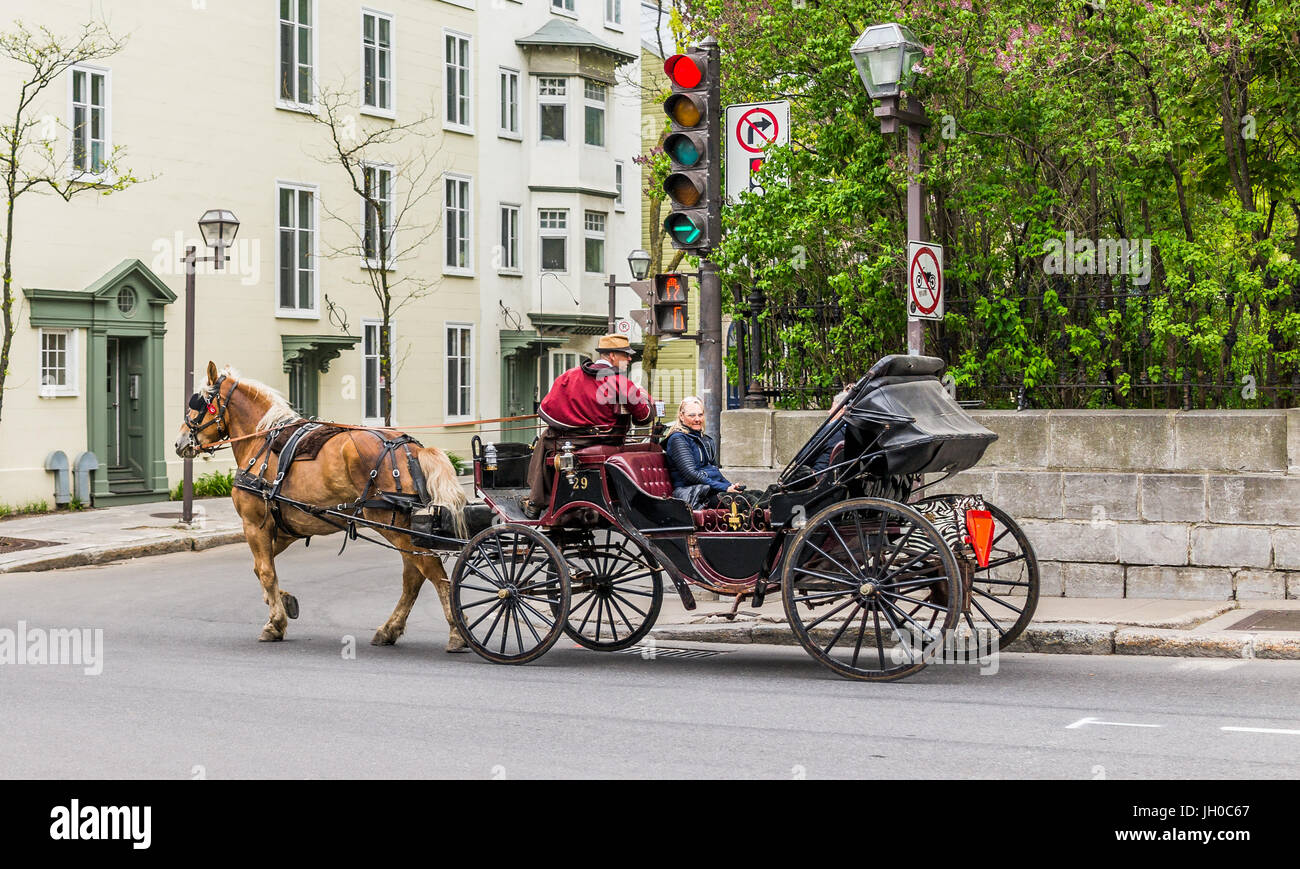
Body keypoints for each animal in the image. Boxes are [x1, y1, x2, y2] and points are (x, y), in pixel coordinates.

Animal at [174, 359, 473, 650]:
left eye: (198, 403)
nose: (179, 442)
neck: (262, 440)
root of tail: (413, 448)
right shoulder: (284, 529)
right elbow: (260, 569)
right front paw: (285, 601)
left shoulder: (254, 524)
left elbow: (266, 572)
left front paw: (275, 622)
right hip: (402, 526)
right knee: (414, 576)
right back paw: (390, 629)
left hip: (391, 525)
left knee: (431, 570)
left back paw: (456, 631)